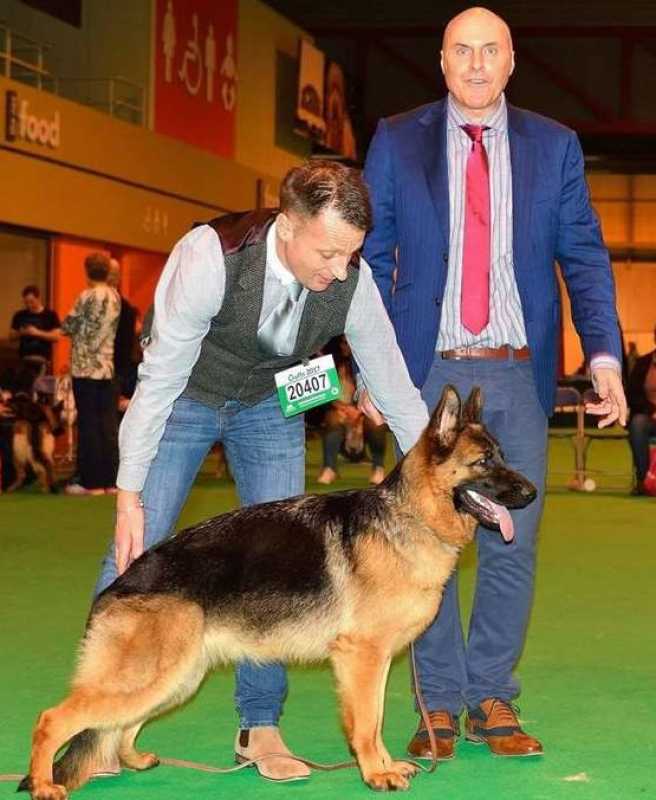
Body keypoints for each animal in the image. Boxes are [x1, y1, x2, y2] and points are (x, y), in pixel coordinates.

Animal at [20, 384, 536, 796]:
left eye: (504, 455)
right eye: (484, 461)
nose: (531, 494)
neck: (410, 515)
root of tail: (118, 587)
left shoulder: (376, 662)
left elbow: (376, 720)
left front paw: (386, 765)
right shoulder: (362, 658)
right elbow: (367, 723)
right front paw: (375, 773)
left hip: (178, 677)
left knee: (119, 725)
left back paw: (132, 759)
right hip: (150, 678)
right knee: (53, 719)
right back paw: (45, 783)